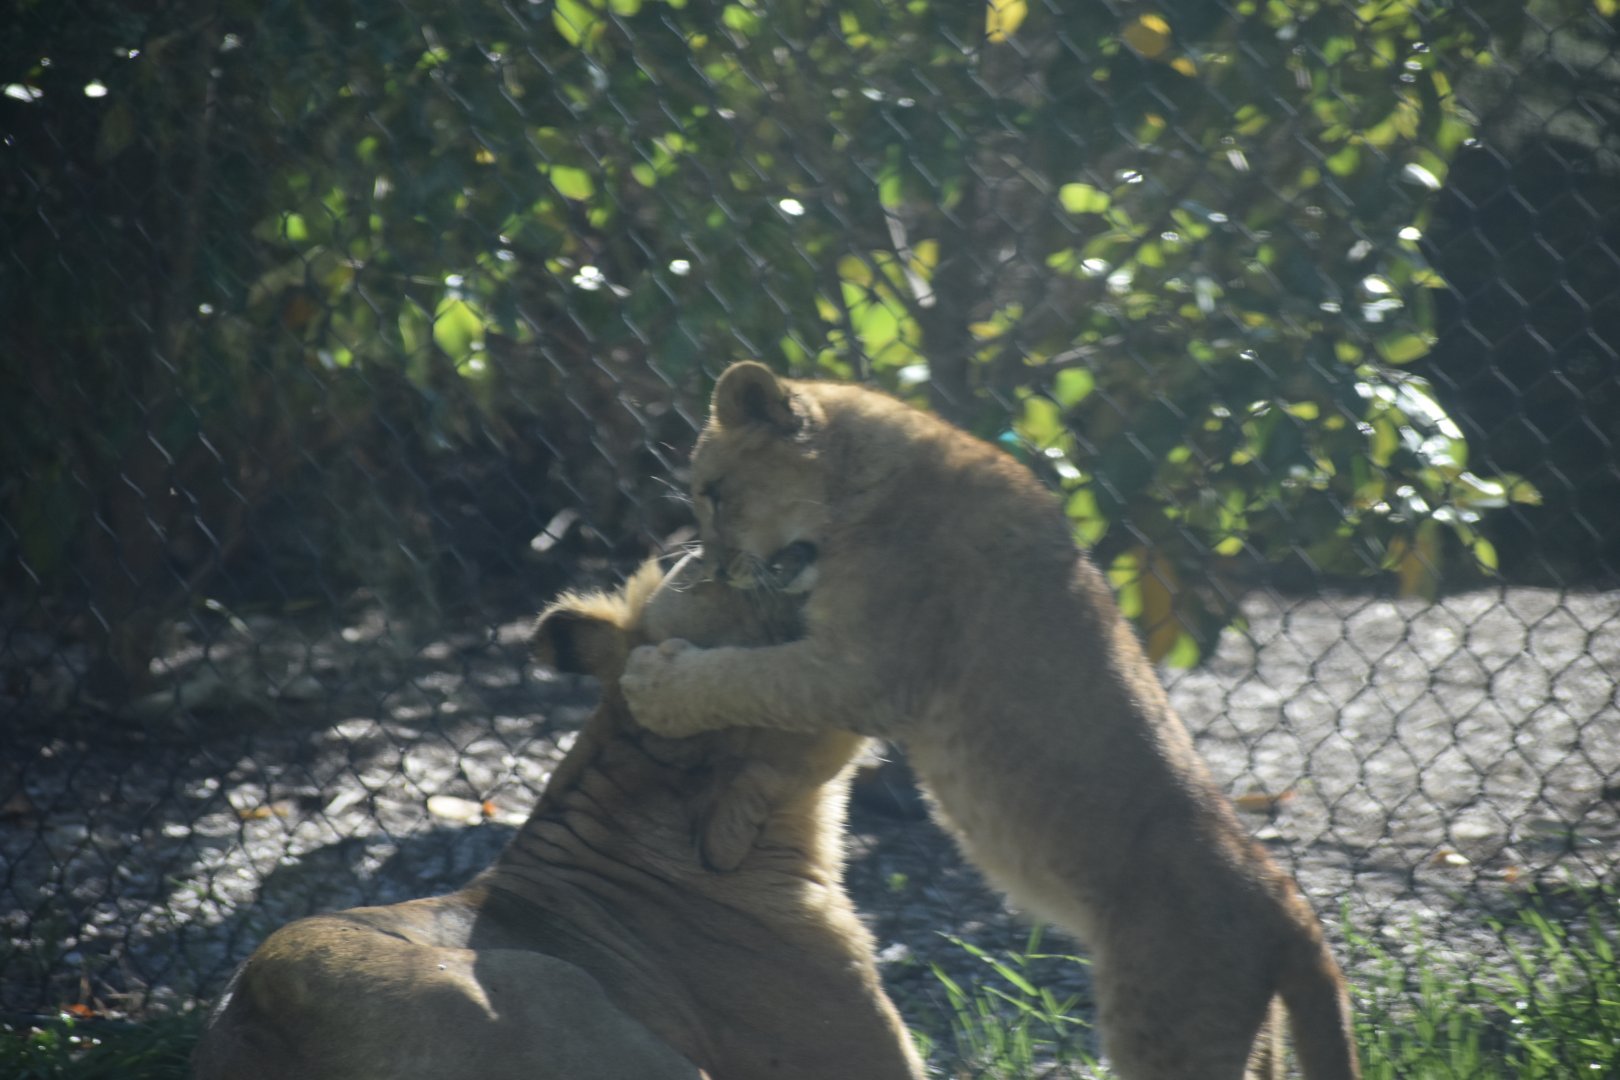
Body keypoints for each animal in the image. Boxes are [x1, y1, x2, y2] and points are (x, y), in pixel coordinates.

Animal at [620, 361, 1361, 1080]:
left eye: (716, 493)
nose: (716, 568)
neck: (860, 479)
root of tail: (1287, 903)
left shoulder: (865, 673)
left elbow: (744, 678)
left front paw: (652, 685)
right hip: (1252, 1038)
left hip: (1167, 1032)